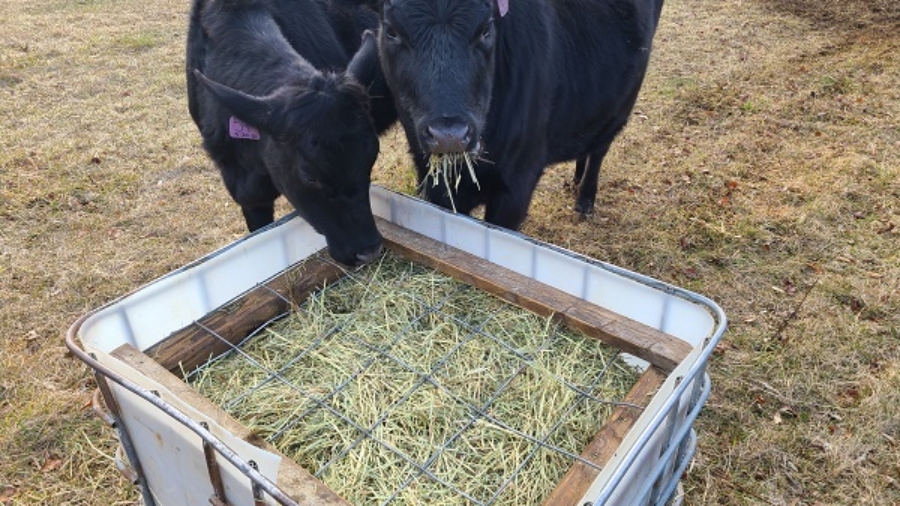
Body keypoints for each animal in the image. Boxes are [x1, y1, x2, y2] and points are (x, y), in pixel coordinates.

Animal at [376, 0, 664, 229]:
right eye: (391, 31)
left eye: (486, 29)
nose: (450, 135)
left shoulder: (517, 184)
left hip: (620, 105)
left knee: (599, 150)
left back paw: (585, 199)